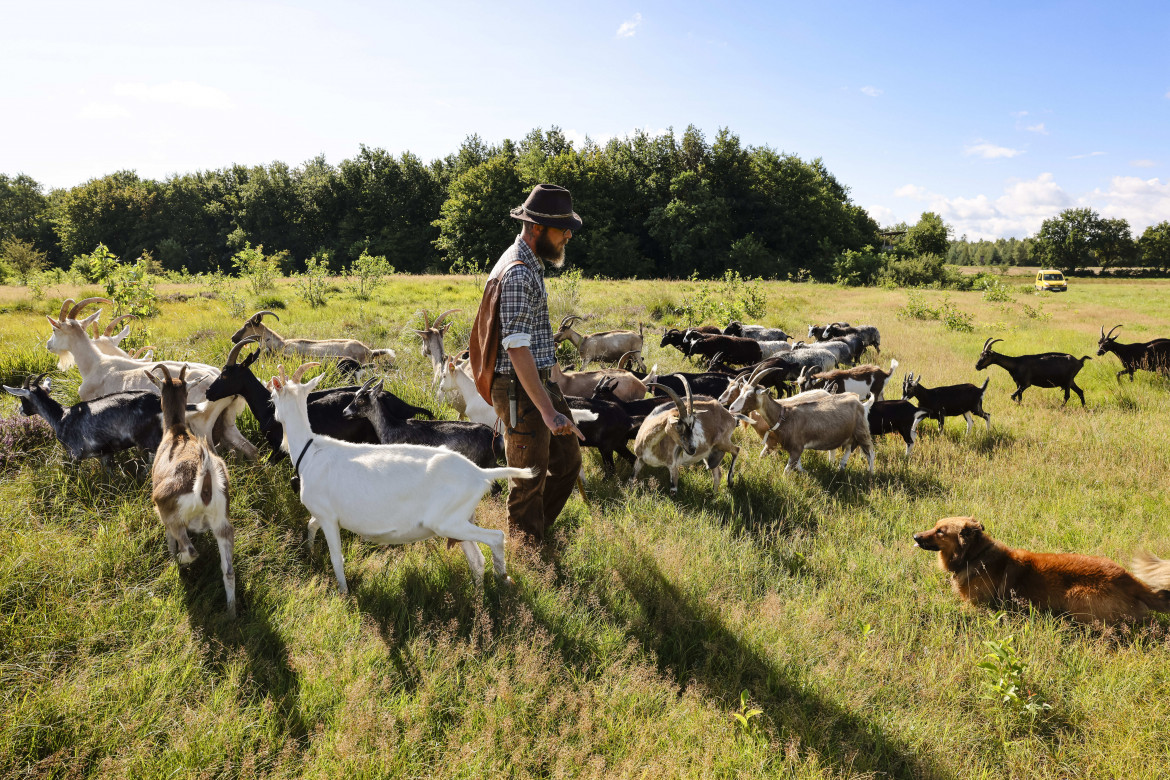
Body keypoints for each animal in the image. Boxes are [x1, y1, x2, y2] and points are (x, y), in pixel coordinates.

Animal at [145, 364, 236, 617]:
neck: (176, 431)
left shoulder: (164, 515)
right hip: (221, 521)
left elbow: (169, 540)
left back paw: (178, 561)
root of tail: (205, 482)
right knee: (228, 571)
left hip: (173, 515)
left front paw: (171, 557)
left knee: (191, 550)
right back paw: (232, 613)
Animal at [267, 362, 535, 594]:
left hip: (448, 522)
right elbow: (310, 525)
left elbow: (336, 557)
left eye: (273, 398)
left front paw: (343, 592)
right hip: (460, 522)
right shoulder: (322, 515)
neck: (311, 449)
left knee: (496, 538)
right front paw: (310, 552)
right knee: (477, 559)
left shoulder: (328, 516)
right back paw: (479, 597)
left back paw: (504, 578)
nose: (273, 418)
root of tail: (479, 473)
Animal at [912, 514, 1170, 626]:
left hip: (1076, 597)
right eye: (935, 526)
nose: (915, 536)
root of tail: (1129, 580)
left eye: (940, 531)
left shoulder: (977, 606)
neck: (975, 555)